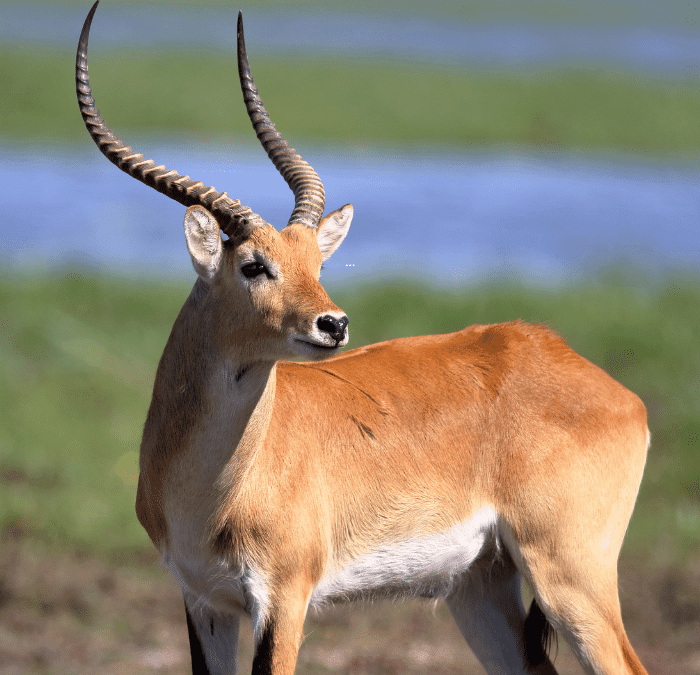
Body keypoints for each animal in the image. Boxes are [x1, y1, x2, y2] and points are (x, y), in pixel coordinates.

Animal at [75, 2, 652, 672]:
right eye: (254, 265)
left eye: (315, 264)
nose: (333, 323)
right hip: (481, 585)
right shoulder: (204, 601)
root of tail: (600, 380)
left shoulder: (284, 596)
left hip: (569, 576)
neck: (213, 489)